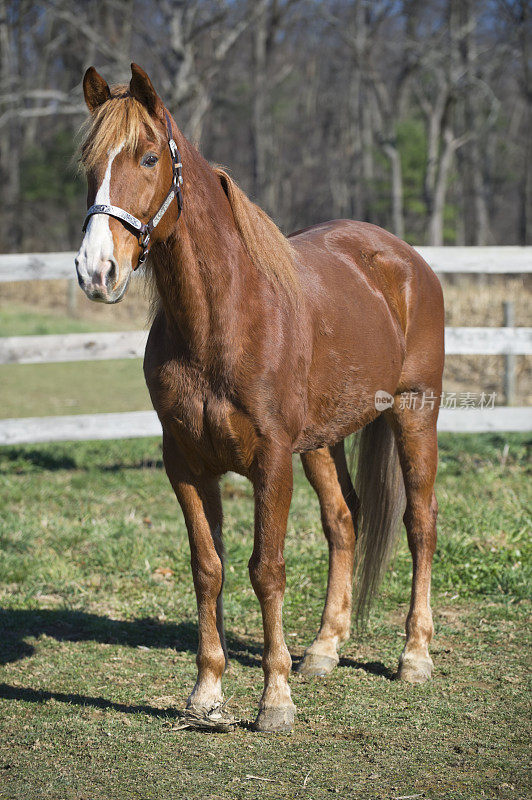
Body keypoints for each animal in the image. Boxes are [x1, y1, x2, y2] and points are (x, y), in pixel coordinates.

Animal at [76, 65, 444, 736]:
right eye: (90, 166)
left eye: (148, 157)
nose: (97, 270)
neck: (225, 319)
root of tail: (403, 260)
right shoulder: (186, 465)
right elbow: (209, 568)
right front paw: (206, 693)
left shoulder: (271, 461)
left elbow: (265, 569)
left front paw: (274, 700)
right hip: (322, 440)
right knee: (344, 520)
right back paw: (324, 649)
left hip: (414, 413)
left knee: (420, 522)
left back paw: (414, 655)